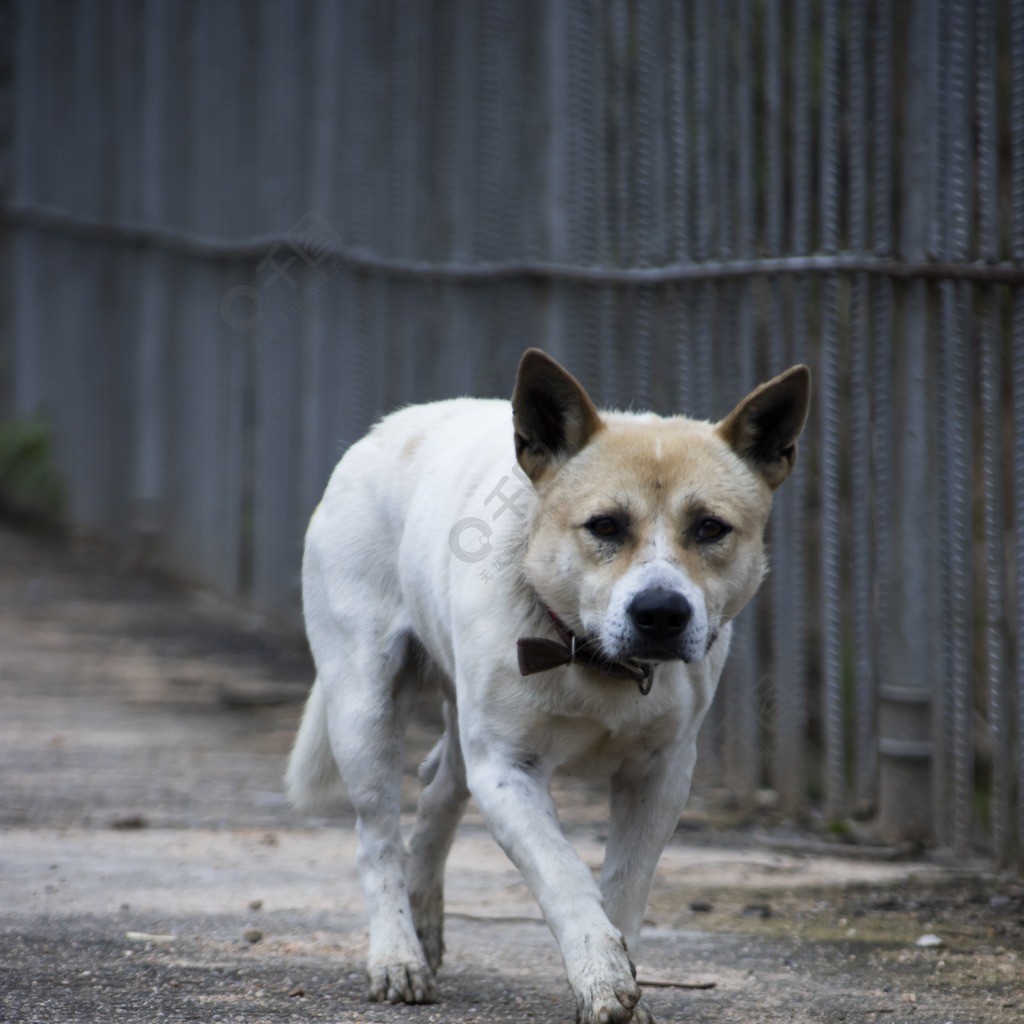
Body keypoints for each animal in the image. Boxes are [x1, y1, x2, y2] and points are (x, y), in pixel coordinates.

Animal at [286, 348, 806, 1019]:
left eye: (711, 528)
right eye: (604, 526)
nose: (661, 612)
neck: (595, 658)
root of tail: (384, 429)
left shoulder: (662, 774)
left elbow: (625, 886)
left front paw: (623, 978)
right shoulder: (507, 769)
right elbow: (563, 874)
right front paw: (601, 975)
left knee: (439, 794)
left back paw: (424, 924)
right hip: (363, 709)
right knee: (375, 835)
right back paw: (398, 957)